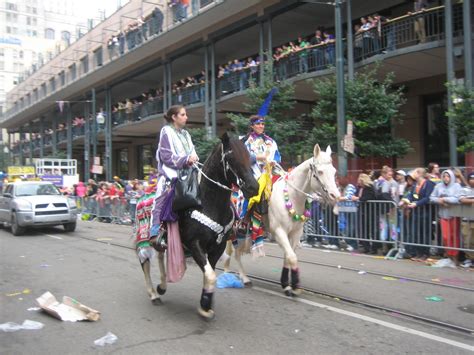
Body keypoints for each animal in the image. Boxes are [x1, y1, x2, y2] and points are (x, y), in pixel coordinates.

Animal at [224, 145, 338, 298]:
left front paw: (287, 285)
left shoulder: (295, 233)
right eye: (320, 172)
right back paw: (236, 275)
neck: (291, 197)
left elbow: (288, 257)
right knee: (232, 252)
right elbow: (292, 257)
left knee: (236, 252)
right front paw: (294, 286)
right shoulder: (279, 231)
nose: (335, 196)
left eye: (334, 171)